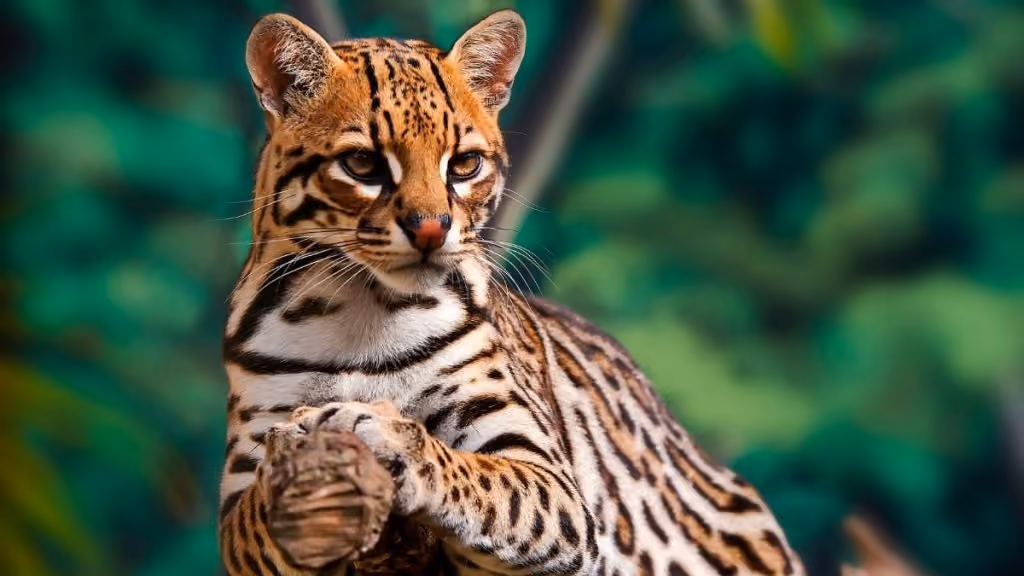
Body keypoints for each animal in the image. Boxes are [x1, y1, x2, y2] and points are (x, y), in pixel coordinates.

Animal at [218, 9, 806, 576]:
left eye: (464, 164)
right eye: (362, 164)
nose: (430, 230)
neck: (362, 312)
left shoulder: (552, 482)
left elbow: (477, 477)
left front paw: (381, 430)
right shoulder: (240, 490)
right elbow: (255, 520)